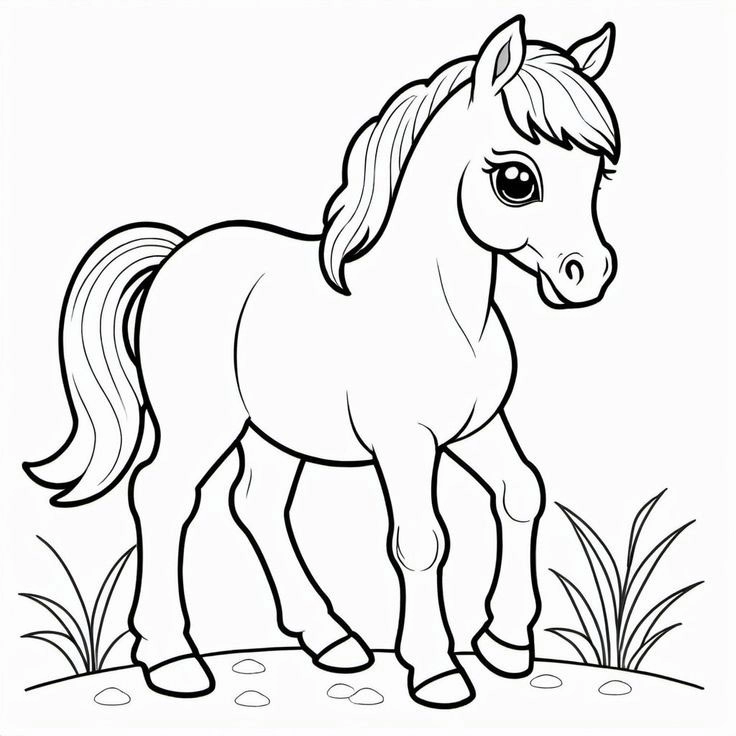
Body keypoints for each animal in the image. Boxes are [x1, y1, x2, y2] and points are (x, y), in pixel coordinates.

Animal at [24, 16, 620, 708]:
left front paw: (506, 643)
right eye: (517, 181)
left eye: (599, 175)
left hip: (271, 432)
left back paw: (331, 639)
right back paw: (173, 659)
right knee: (162, 495)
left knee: (255, 505)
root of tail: (176, 254)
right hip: (202, 425)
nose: (588, 276)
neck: (441, 311)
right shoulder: (405, 443)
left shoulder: (476, 428)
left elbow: (522, 493)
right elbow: (422, 541)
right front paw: (436, 670)